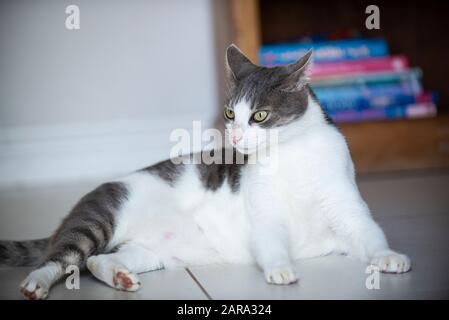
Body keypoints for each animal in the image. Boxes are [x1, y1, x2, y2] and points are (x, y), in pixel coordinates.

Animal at [0, 45, 410, 300]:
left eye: (259, 115)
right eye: (230, 113)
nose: (234, 134)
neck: (290, 155)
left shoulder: (345, 205)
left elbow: (368, 232)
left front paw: (389, 257)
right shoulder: (264, 215)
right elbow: (271, 240)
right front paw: (281, 269)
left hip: (146, 252)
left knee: (97, 260)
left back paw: (118, 276)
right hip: (99, 216)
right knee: (62, 258)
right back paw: (35, 283)